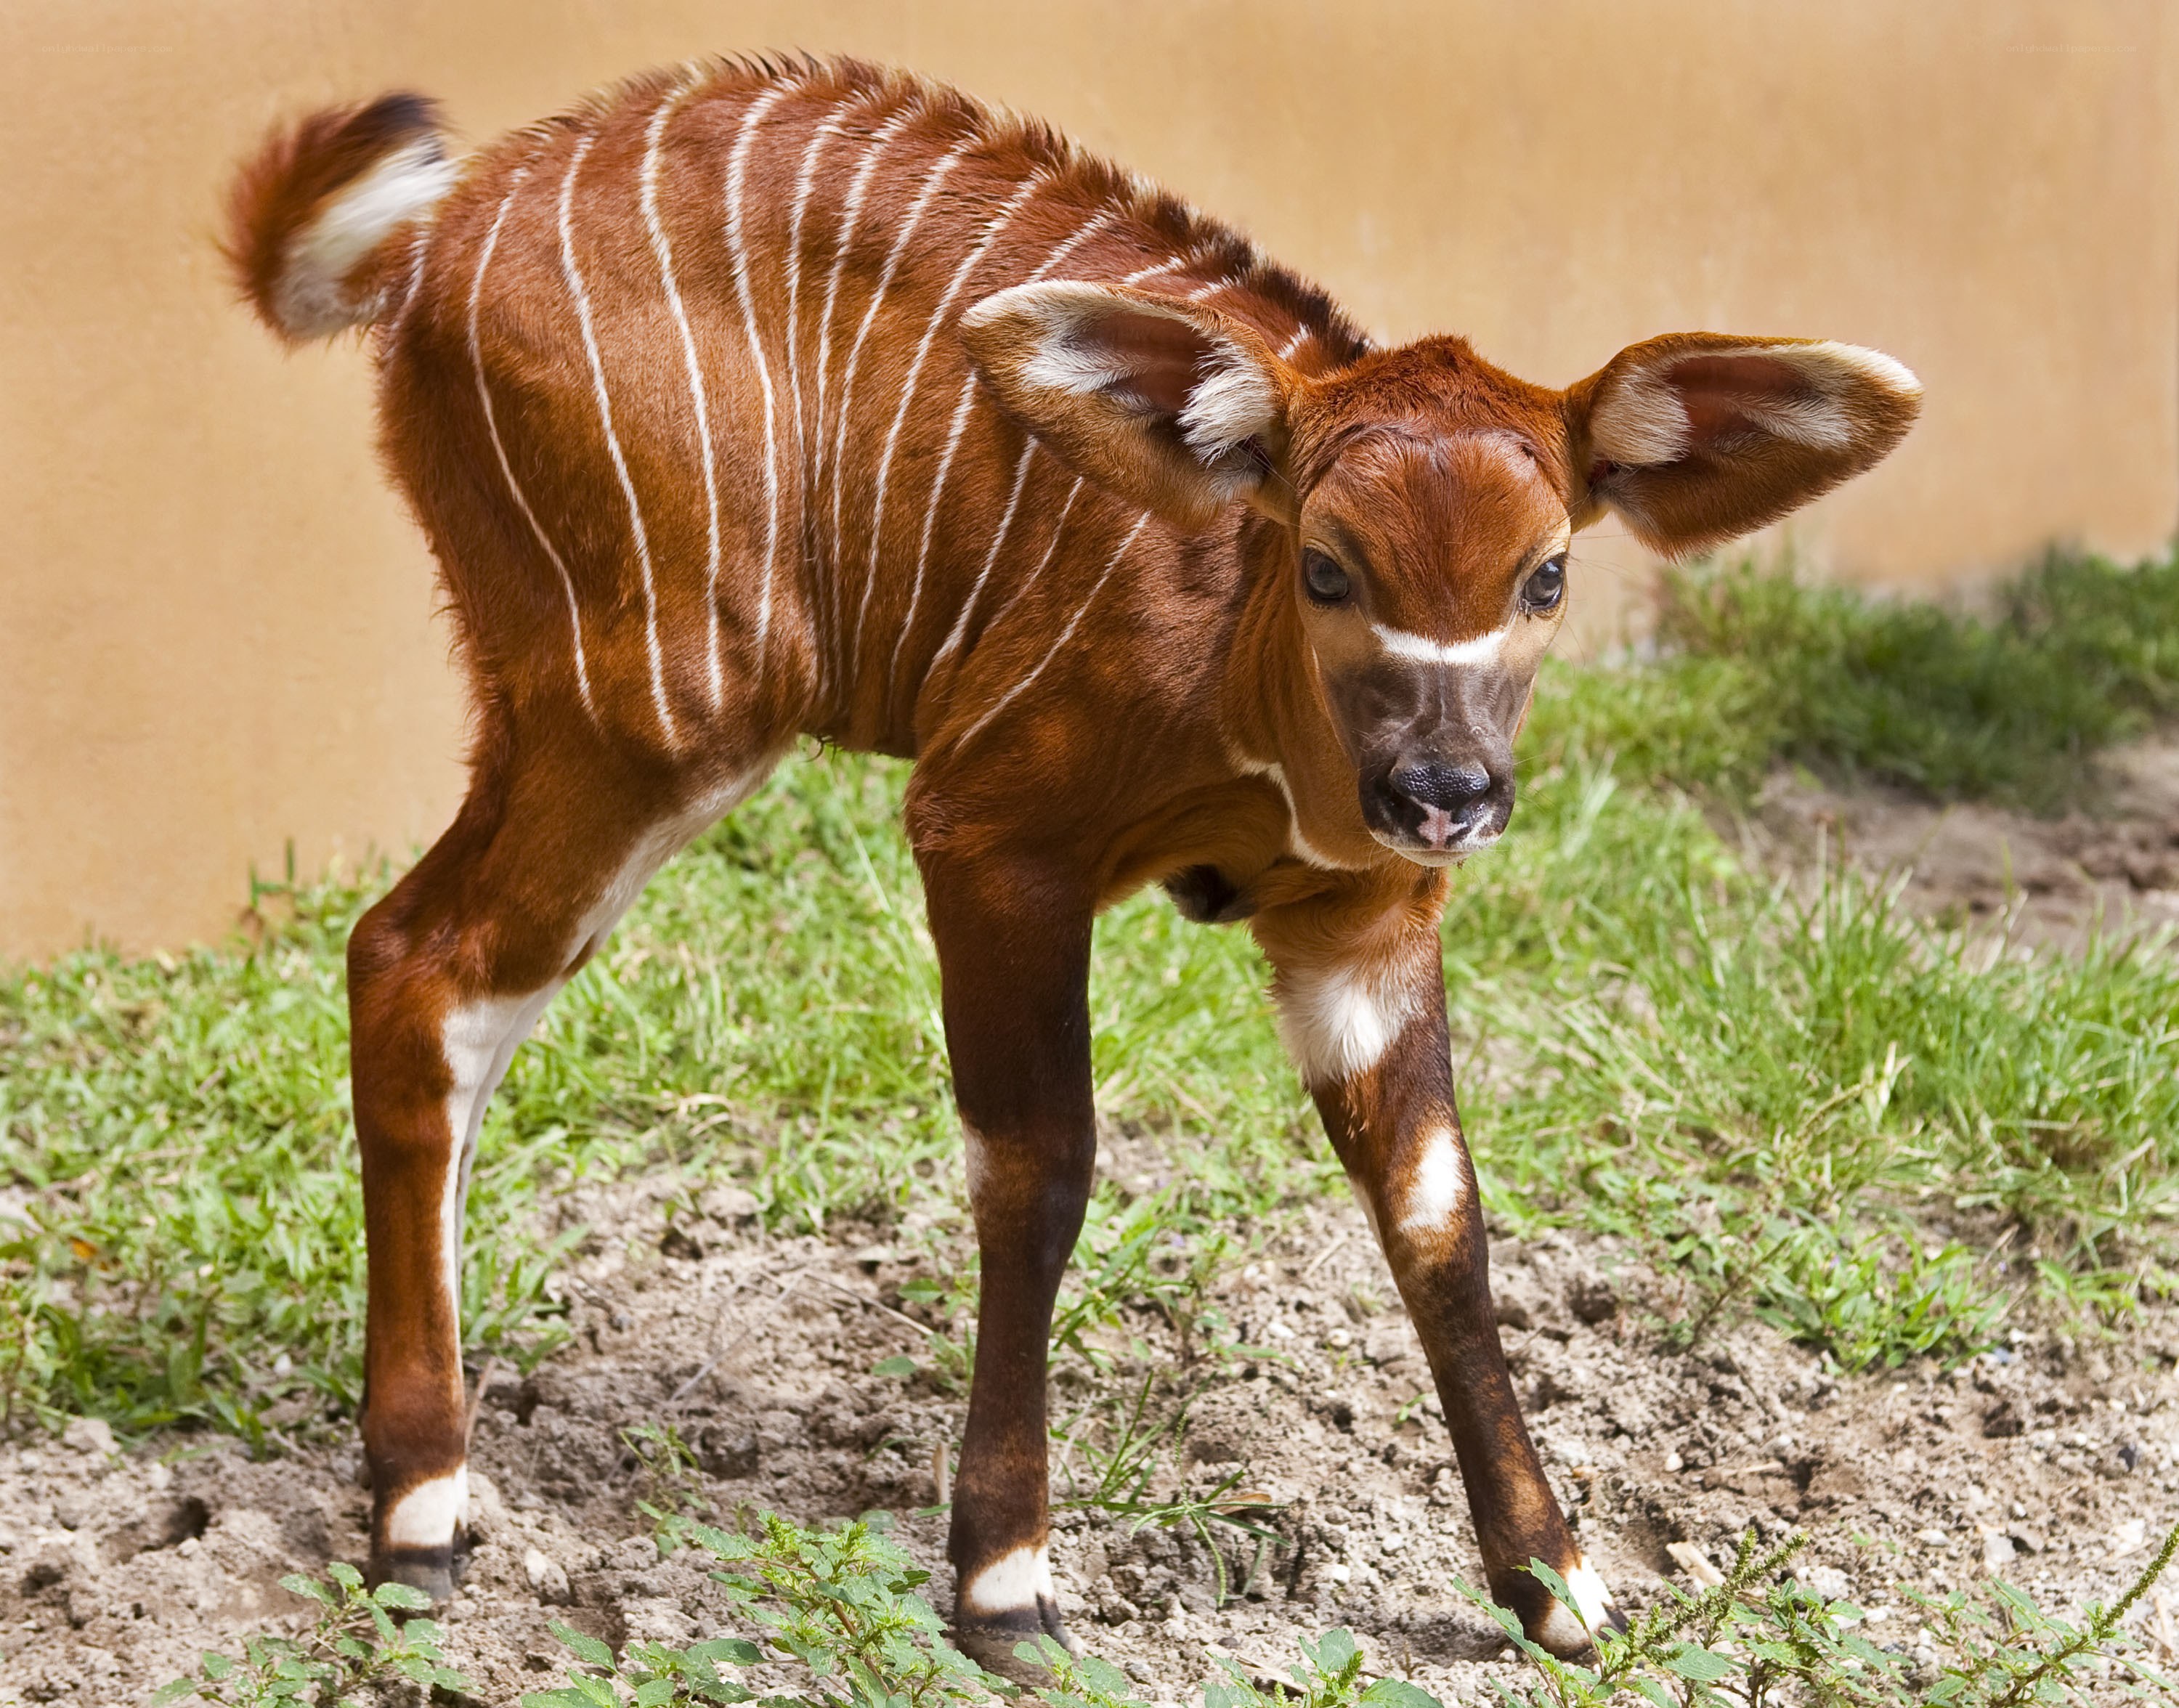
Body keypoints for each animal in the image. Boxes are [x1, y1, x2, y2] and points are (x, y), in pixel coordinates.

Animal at [222, 55, 1918, 1668]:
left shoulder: (1363, 913)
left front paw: (1556, 1586)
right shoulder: (990, 833)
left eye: (1546, 572)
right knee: (421, 965)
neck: (1247, 683)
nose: (1447, 791)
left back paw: (438, 1485)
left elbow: (1437, 1206)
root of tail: (424, 242)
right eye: (1328, 563)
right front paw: (1006, 1586)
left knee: (430, 980)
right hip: (649, 704)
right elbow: (1039, 1165)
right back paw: (420, 1512)